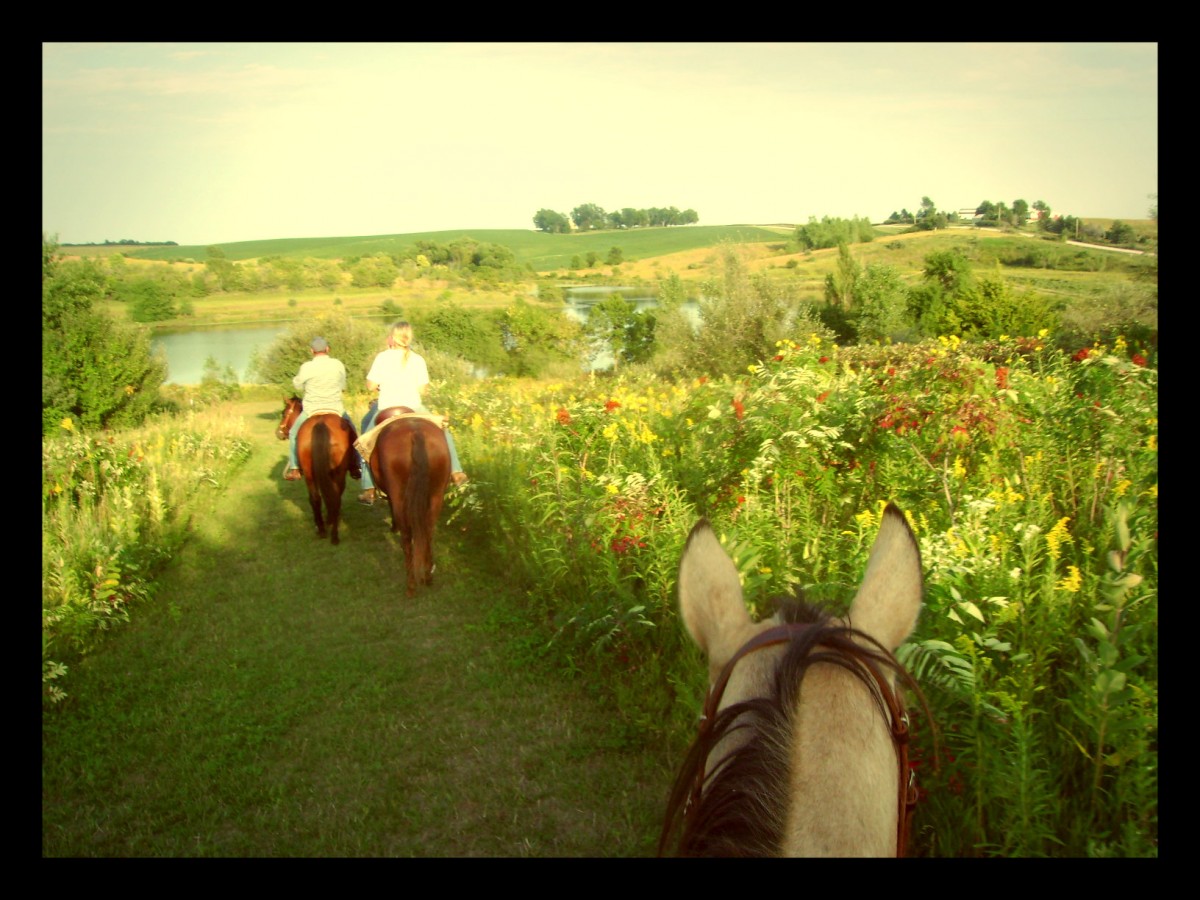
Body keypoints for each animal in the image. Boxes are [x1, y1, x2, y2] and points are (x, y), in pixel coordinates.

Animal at [274, 398, 357, 547]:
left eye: (284, 413)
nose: (278, 433)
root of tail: (320, 423)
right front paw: (331, 518)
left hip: (310, 474)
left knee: (316, 498)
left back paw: (323, 530)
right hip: (335, 473)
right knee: (332, 498)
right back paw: (333, 534)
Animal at [364, 410, 451, 600]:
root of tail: (415, 433)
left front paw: (393, 527)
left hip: (400, 496)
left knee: (406, 537)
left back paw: (411, 586)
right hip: (436, 496)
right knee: (428, 532)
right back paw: (428, 577)